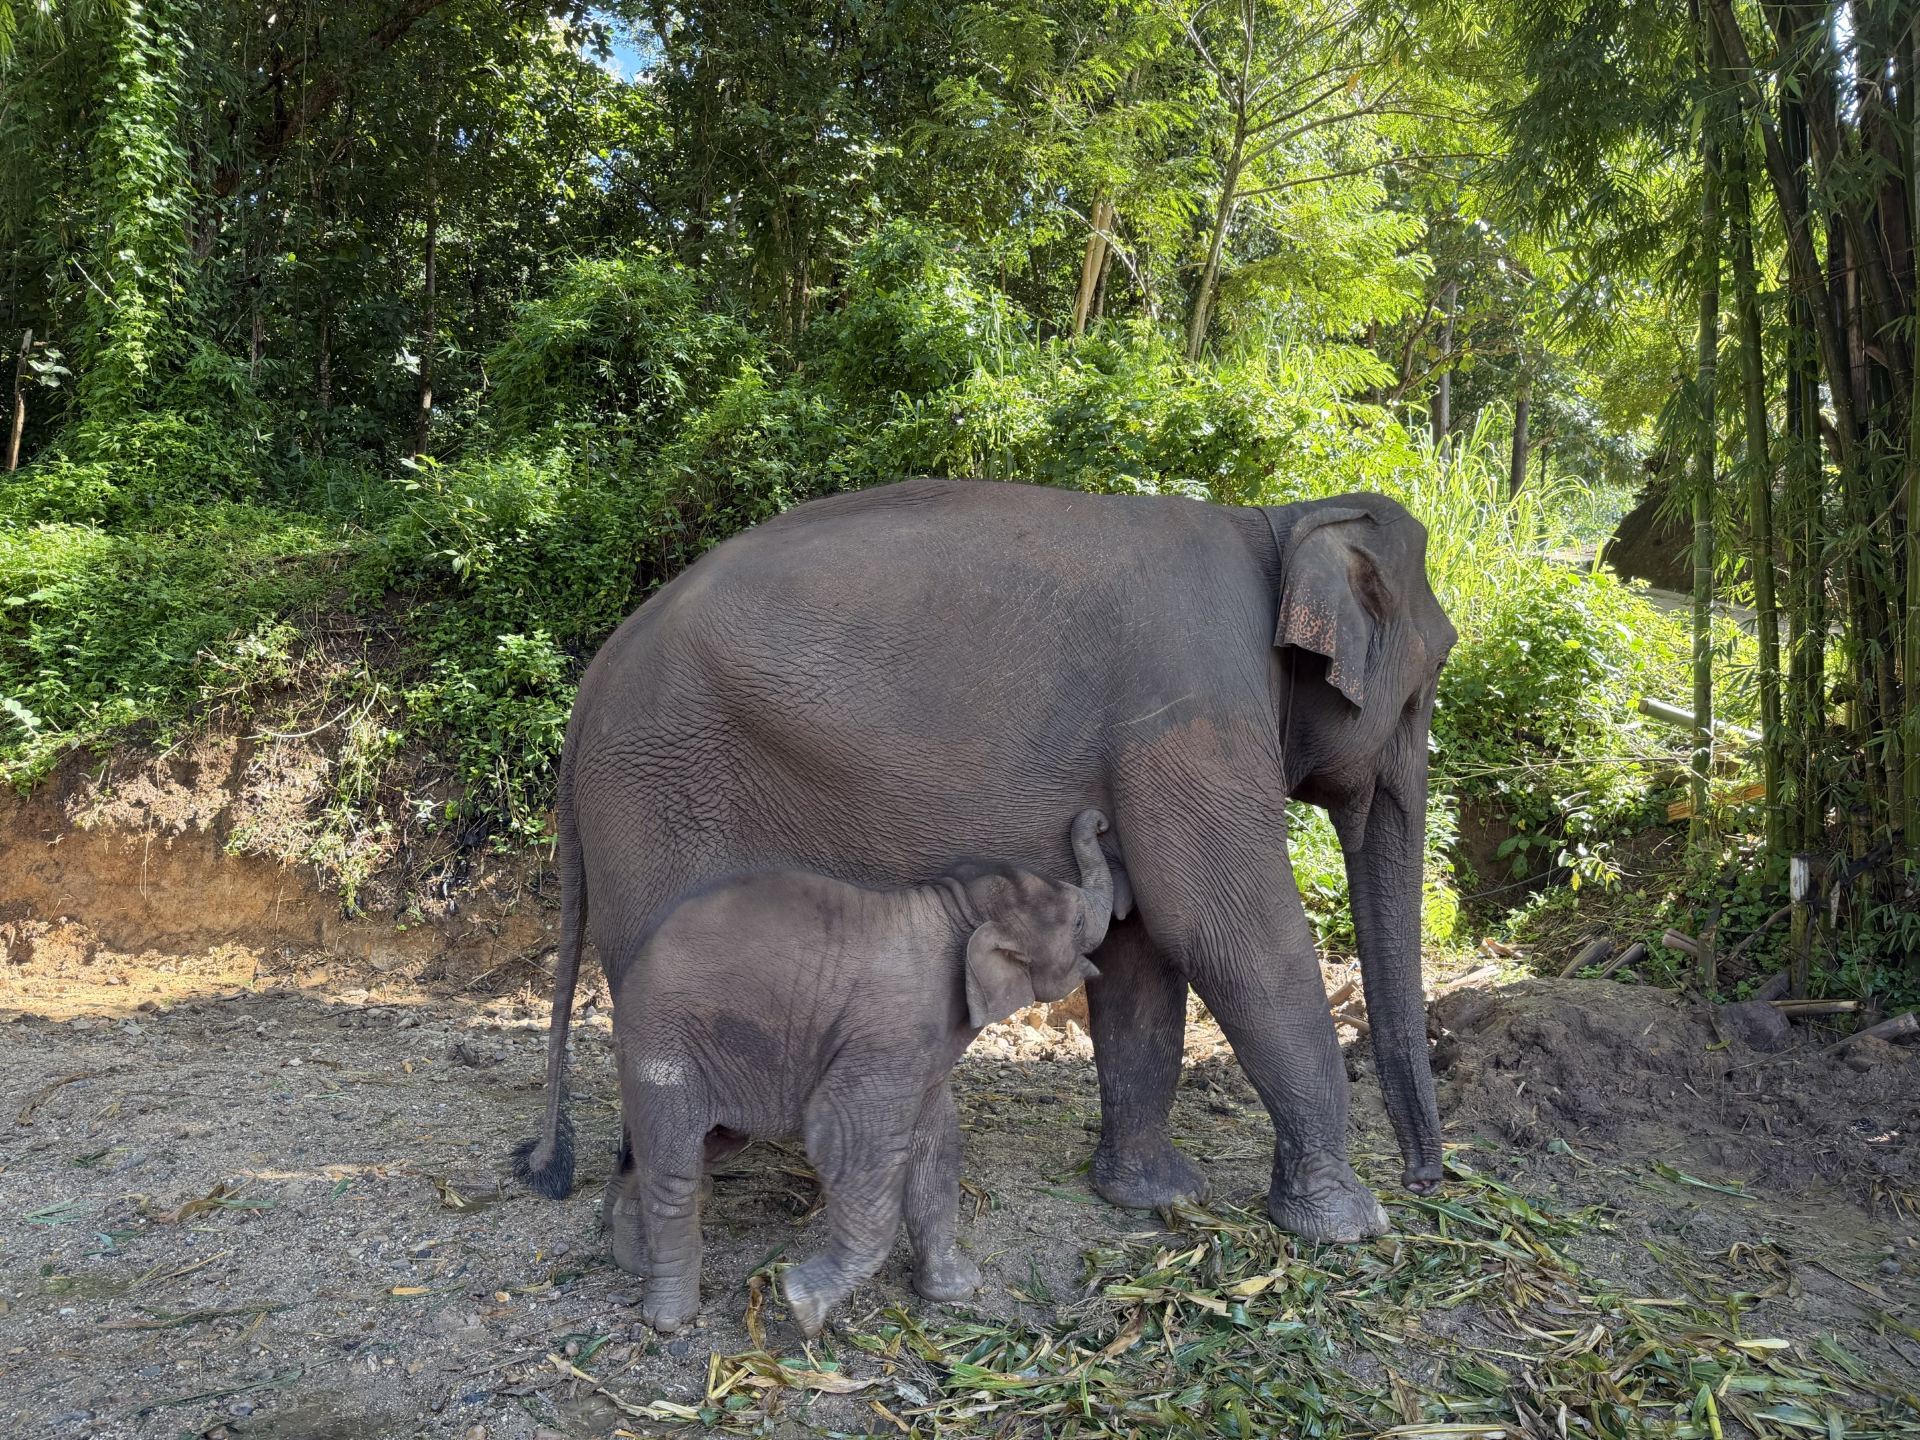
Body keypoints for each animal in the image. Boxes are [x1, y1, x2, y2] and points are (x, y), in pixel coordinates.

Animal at [516, 476, 1457, 1243]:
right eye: (1424, 688)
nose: (1424, 1179)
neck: (1277, 520)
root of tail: (591, 683)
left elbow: (1144, 955)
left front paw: (1154, 1197)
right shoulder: (1193, 714)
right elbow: (1226, 931)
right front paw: (1349, 1226)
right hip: (657, 793)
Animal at [574, 807, 1120, 1336]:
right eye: (1076, 921)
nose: (1099, 820)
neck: (953, 908)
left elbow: (936, 1145)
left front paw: (956, 1291)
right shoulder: (889, 1033)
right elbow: (848, 1135)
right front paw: (801, 1305)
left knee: (693, 1148)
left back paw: (631, 1258)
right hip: (664, 1041)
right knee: (675, 1165)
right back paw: (669, 1319)